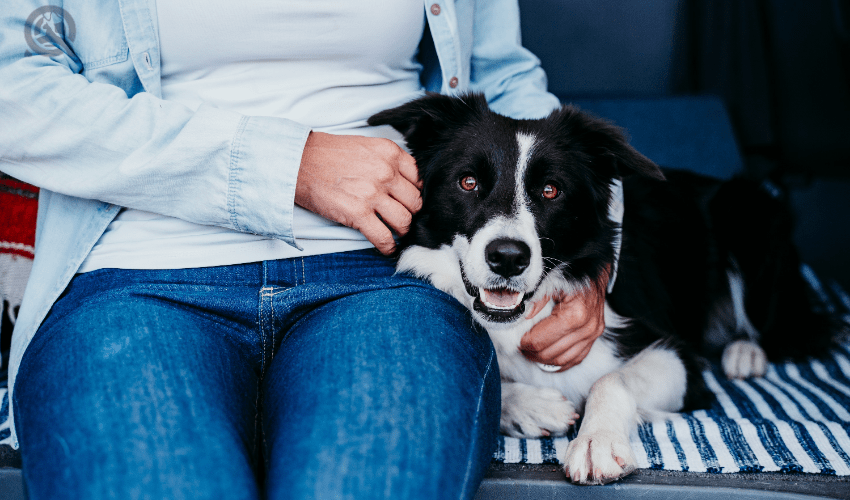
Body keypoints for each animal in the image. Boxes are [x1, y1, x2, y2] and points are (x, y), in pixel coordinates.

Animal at [366, 94, 836, 484]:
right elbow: (494, 385)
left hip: (748, 210)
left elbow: (610, 380)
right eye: (468, 182)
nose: (508, 257)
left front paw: (598, 442)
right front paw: (534, 406)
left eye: (550, 190)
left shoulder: (677, 358)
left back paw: (745, 353)